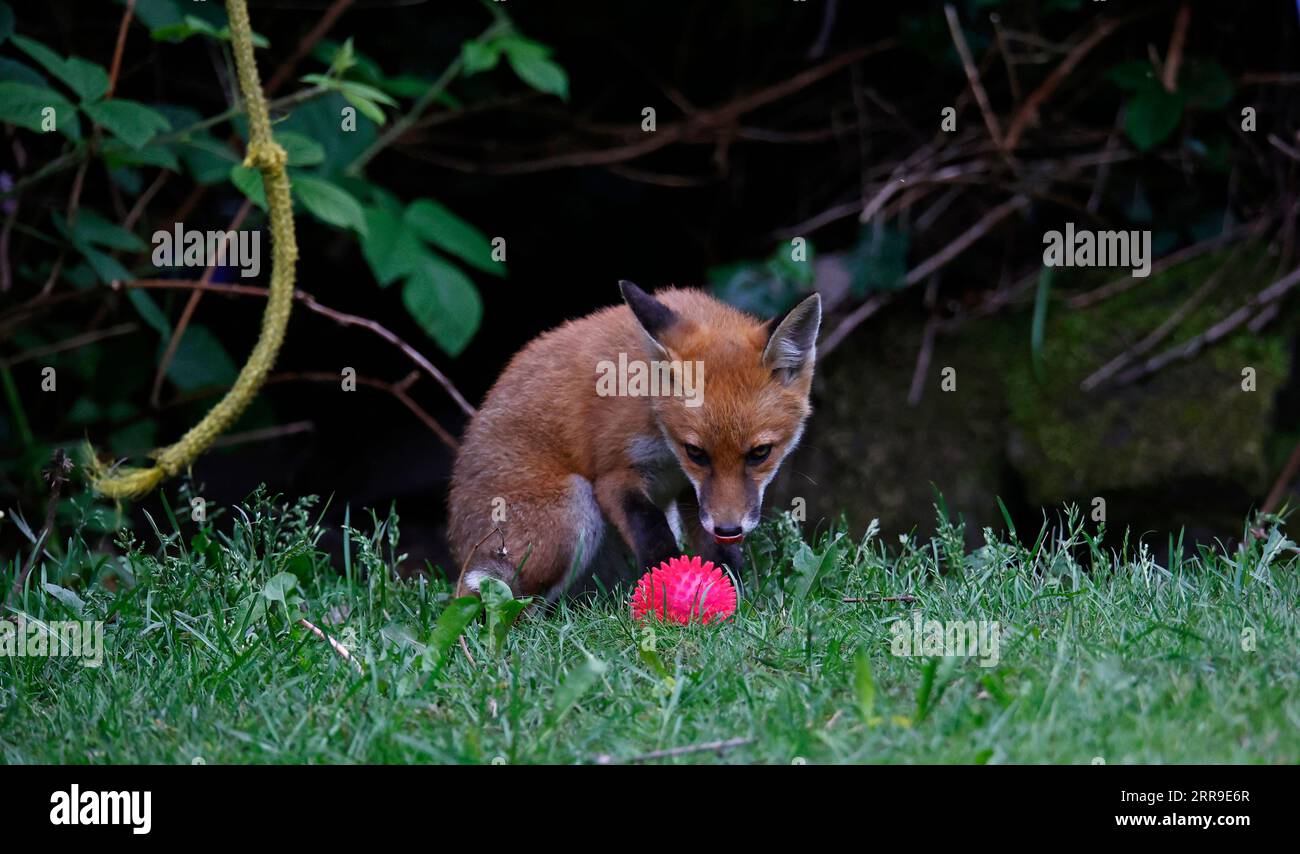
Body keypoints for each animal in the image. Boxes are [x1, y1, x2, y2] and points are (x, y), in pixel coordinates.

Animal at [448, 281, 821, 600]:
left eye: (760, 453)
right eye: (696, 452)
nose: (729, 528)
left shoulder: (695, 493)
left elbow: (715, 550)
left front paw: (730, 593)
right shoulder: (614, 474)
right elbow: (651, 530)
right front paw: (667, 590)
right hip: (574, 510)